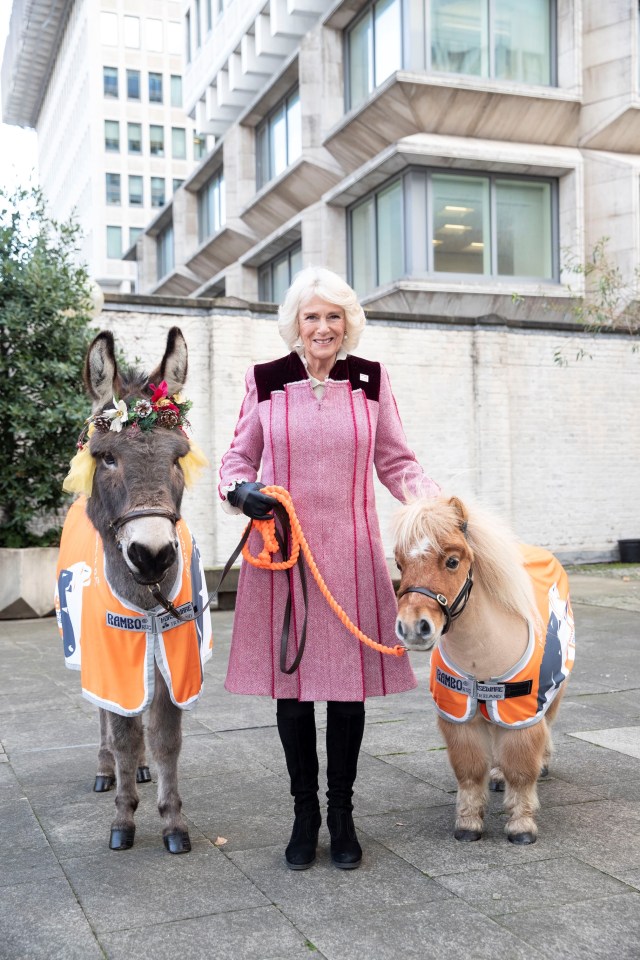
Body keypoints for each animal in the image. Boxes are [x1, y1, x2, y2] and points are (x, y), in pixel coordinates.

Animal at [396, 498, 576, 844]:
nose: (413, 628)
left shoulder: (522, 714)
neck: (483, 651)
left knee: (546, 726)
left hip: (552, 693)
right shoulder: (459, 718)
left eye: (453, 561)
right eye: (399, 564)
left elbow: (521, 770)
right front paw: (468, 824)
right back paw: (497, 776)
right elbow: (470, 770)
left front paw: (522, 826)